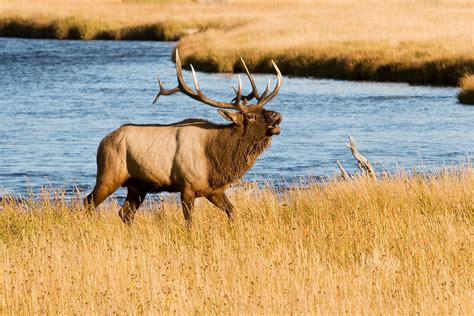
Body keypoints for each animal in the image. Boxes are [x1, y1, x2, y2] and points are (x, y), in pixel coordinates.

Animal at [84, 49, 284, 225]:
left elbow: (232, 212)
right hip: (109, 174)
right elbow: (189, 222)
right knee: (88, 202)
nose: (277, 115)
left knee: (125, 213)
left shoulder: (213, 190)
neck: (217, 160)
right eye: (250, 116)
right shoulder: (187, 186)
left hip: (137, 185)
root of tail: (102, 142)